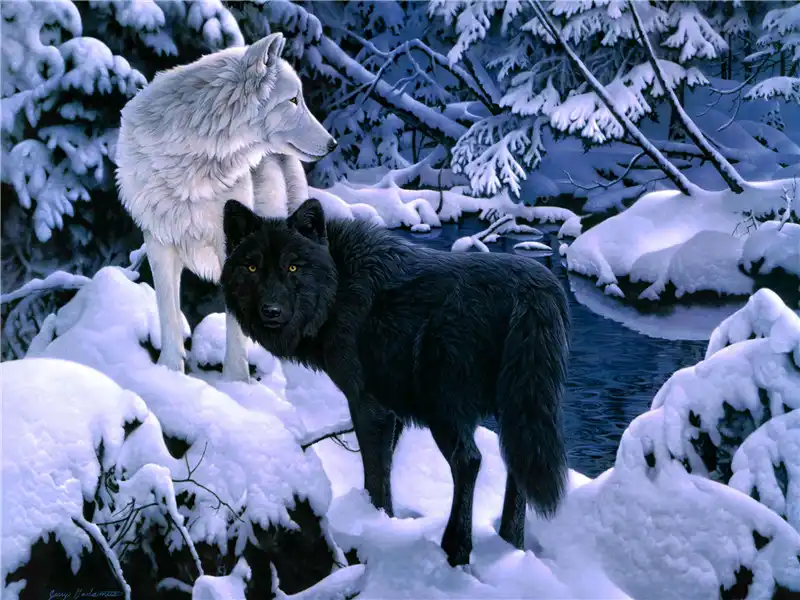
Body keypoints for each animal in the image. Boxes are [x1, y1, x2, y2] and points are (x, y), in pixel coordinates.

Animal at [115, 32, 336, 381]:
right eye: (293, 100)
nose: (332, 144)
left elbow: (236, 326)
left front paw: (236, 381)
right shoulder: (159, 243)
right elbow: (168, 313)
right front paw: (168, 374)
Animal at [220, 199, 571, 566]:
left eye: (292, 267)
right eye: (251, 267)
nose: (270, 311)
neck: (339, 287)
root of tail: (534, 289)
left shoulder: (366, 403)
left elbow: (375, 475)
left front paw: (373, 525)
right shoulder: (393, 411)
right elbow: (385, 469)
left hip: (443, 407)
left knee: (469, 460)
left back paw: (456, 549)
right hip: (518, 409)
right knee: (516, 466)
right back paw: (510, 546)